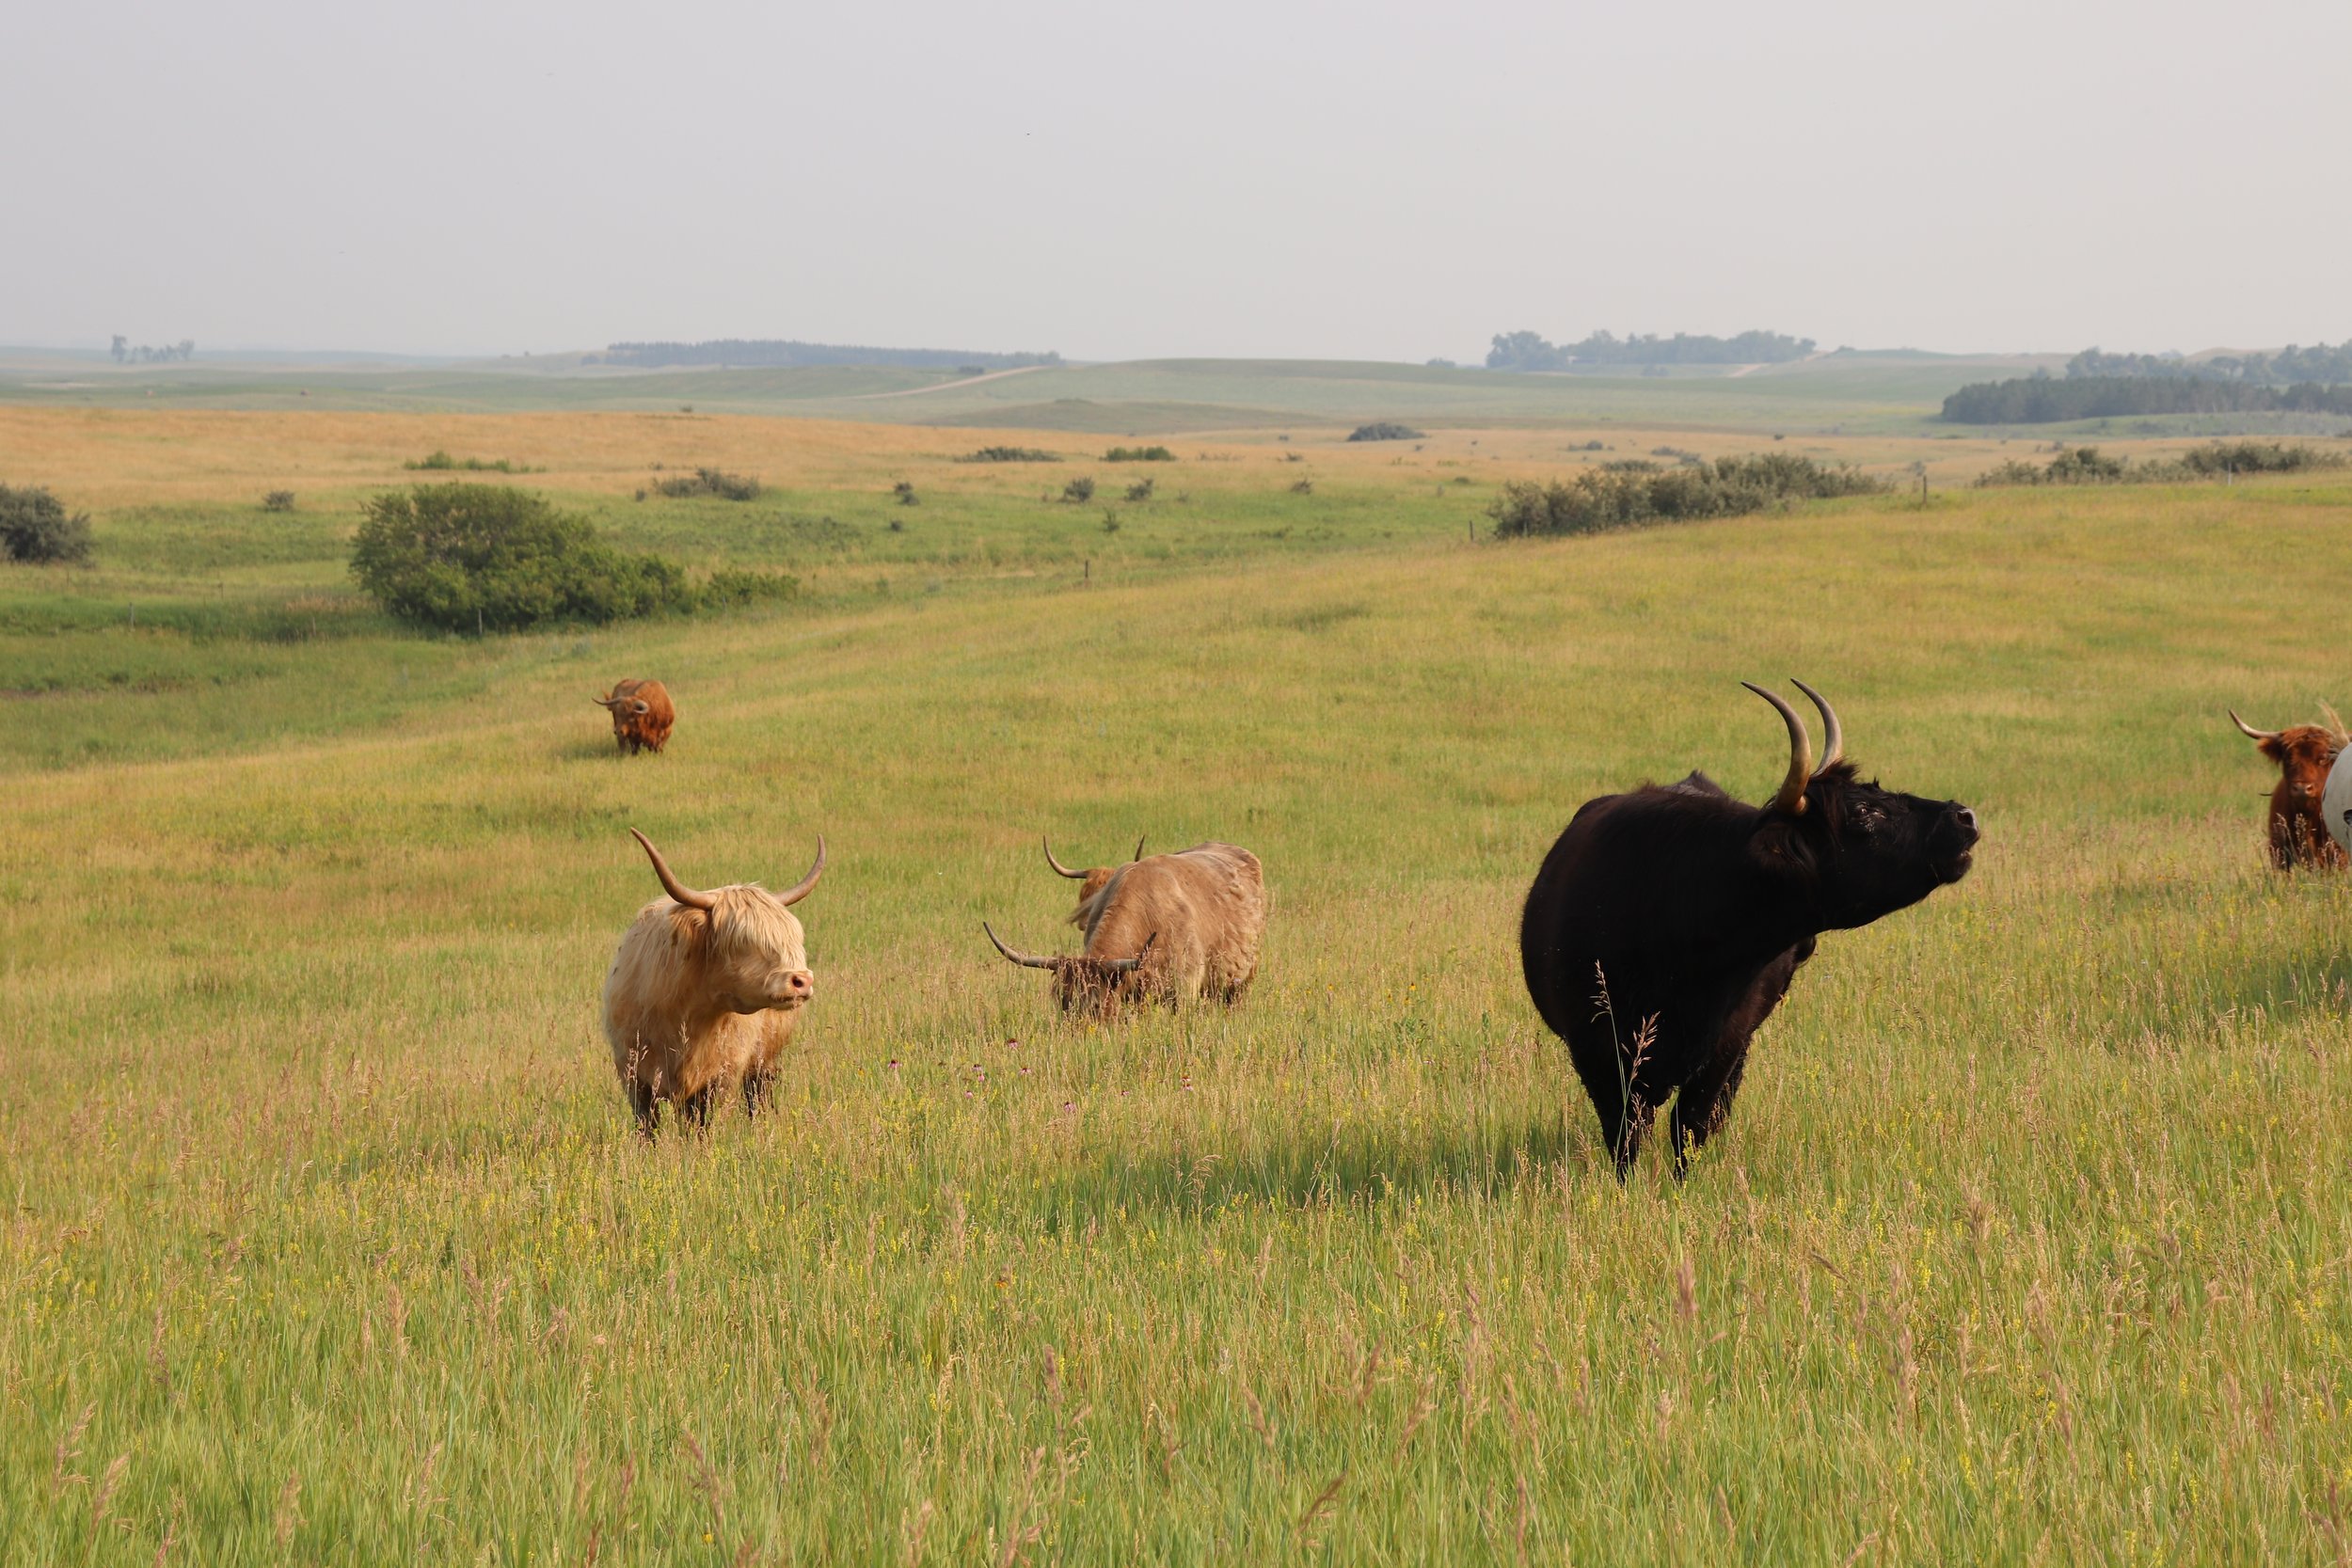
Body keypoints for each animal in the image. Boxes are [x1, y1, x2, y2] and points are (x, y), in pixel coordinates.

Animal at [602, 828, 825, 1136]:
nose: (801, 980)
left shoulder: (720, 1076)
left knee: (758, 1096)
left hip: (765, 1060)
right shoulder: (633, 1075)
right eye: (743, 940)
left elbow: (705, 1125)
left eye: (792, 938)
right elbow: (648, 1126)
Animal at [1520, 681, 1978, 1178]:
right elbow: (1626, 1136)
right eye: (1862, 812)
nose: (1964, 816)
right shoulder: (1596, 1052)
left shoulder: (1727, 1045)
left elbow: (1690, 1126)